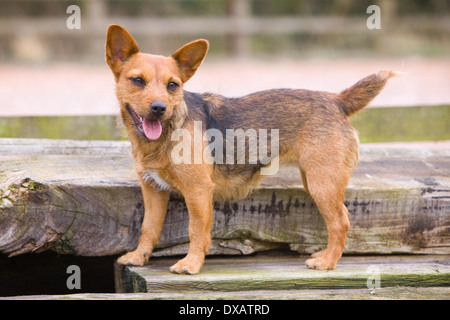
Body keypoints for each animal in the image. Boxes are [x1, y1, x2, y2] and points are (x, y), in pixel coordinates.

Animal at [107, 24, 400, 276]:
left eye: (172, 85)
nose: (159, 108)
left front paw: (191, 264)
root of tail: (337, 100)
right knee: (343, 216)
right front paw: (139, 257)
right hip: (316, 181)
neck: (167, 132)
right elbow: (149, 228)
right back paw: (326, 255)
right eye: (137, 80)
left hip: (322, 184)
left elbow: (196, 231)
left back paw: (328, 262)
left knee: (340, 221)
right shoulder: (153, 190)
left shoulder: (198, 191)